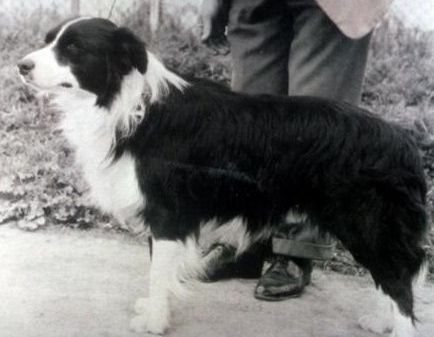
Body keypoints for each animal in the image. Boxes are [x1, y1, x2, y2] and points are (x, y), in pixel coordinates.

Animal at [18, 17, 428, 336]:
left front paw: (154, 321)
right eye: (49, 41)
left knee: (397, 281)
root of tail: (401, 138)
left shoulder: (167, 211)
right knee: (389, 277)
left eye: (72, 48)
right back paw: (382, 322)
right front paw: (155, 309)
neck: (128, 103)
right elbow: (158, 269)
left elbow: (157, 270)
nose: (21, 65)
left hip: (367, 222)